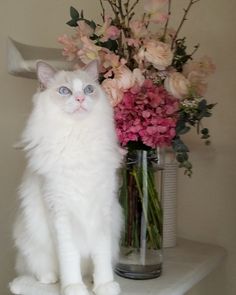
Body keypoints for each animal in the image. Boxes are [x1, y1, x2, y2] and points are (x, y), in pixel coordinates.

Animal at [9, 60, 122, 295]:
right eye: (64, 91)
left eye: (88, 89)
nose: (80, 99)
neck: (78, 138)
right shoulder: (60, 213)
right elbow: (69, 257)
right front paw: (73, 288)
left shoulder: (103, 210)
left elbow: (101, 256)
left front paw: (104, 286)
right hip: (29, 242)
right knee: (36, 268)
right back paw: (50, 279)